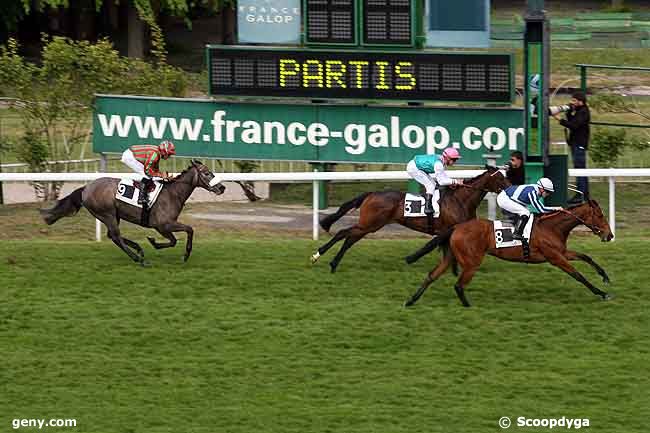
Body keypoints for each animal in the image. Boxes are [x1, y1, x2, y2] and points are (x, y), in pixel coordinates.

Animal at [39, 159, 225, 264]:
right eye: (206, 173)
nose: (222, 187)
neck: (172, 194)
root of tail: (86, 188)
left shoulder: (163, 226)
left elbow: (174, 240)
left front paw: (153, 242)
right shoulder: (163, 225)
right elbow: (188, 231)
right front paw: (185, 255)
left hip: (112, 215)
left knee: (113, 236)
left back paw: (138, 249)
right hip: (107, 214)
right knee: (115, 236)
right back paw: (138, 258)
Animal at [308, 166, 506, 272]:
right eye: (500, 178)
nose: (510, 187)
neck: (460, 199)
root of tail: (371, 193)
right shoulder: (447, 230)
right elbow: (431, 247)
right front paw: (411, 259)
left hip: (369, 226)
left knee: (349, 239)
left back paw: (333, 263)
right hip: (370, 224)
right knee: (343, 233)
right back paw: (318, 255)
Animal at [404, 200, 612, 308]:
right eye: (600, 215)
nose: (609, 235)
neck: (552, 227)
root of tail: (456, 227)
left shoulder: (562, 252)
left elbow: (586, 257)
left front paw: (605, 276)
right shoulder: (555, 257)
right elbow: (578, 275)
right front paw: (602, 293)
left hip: (450, 257)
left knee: (432, 275)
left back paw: (411, 300)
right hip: (472, 262)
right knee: (458, 285)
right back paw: (468, 306)